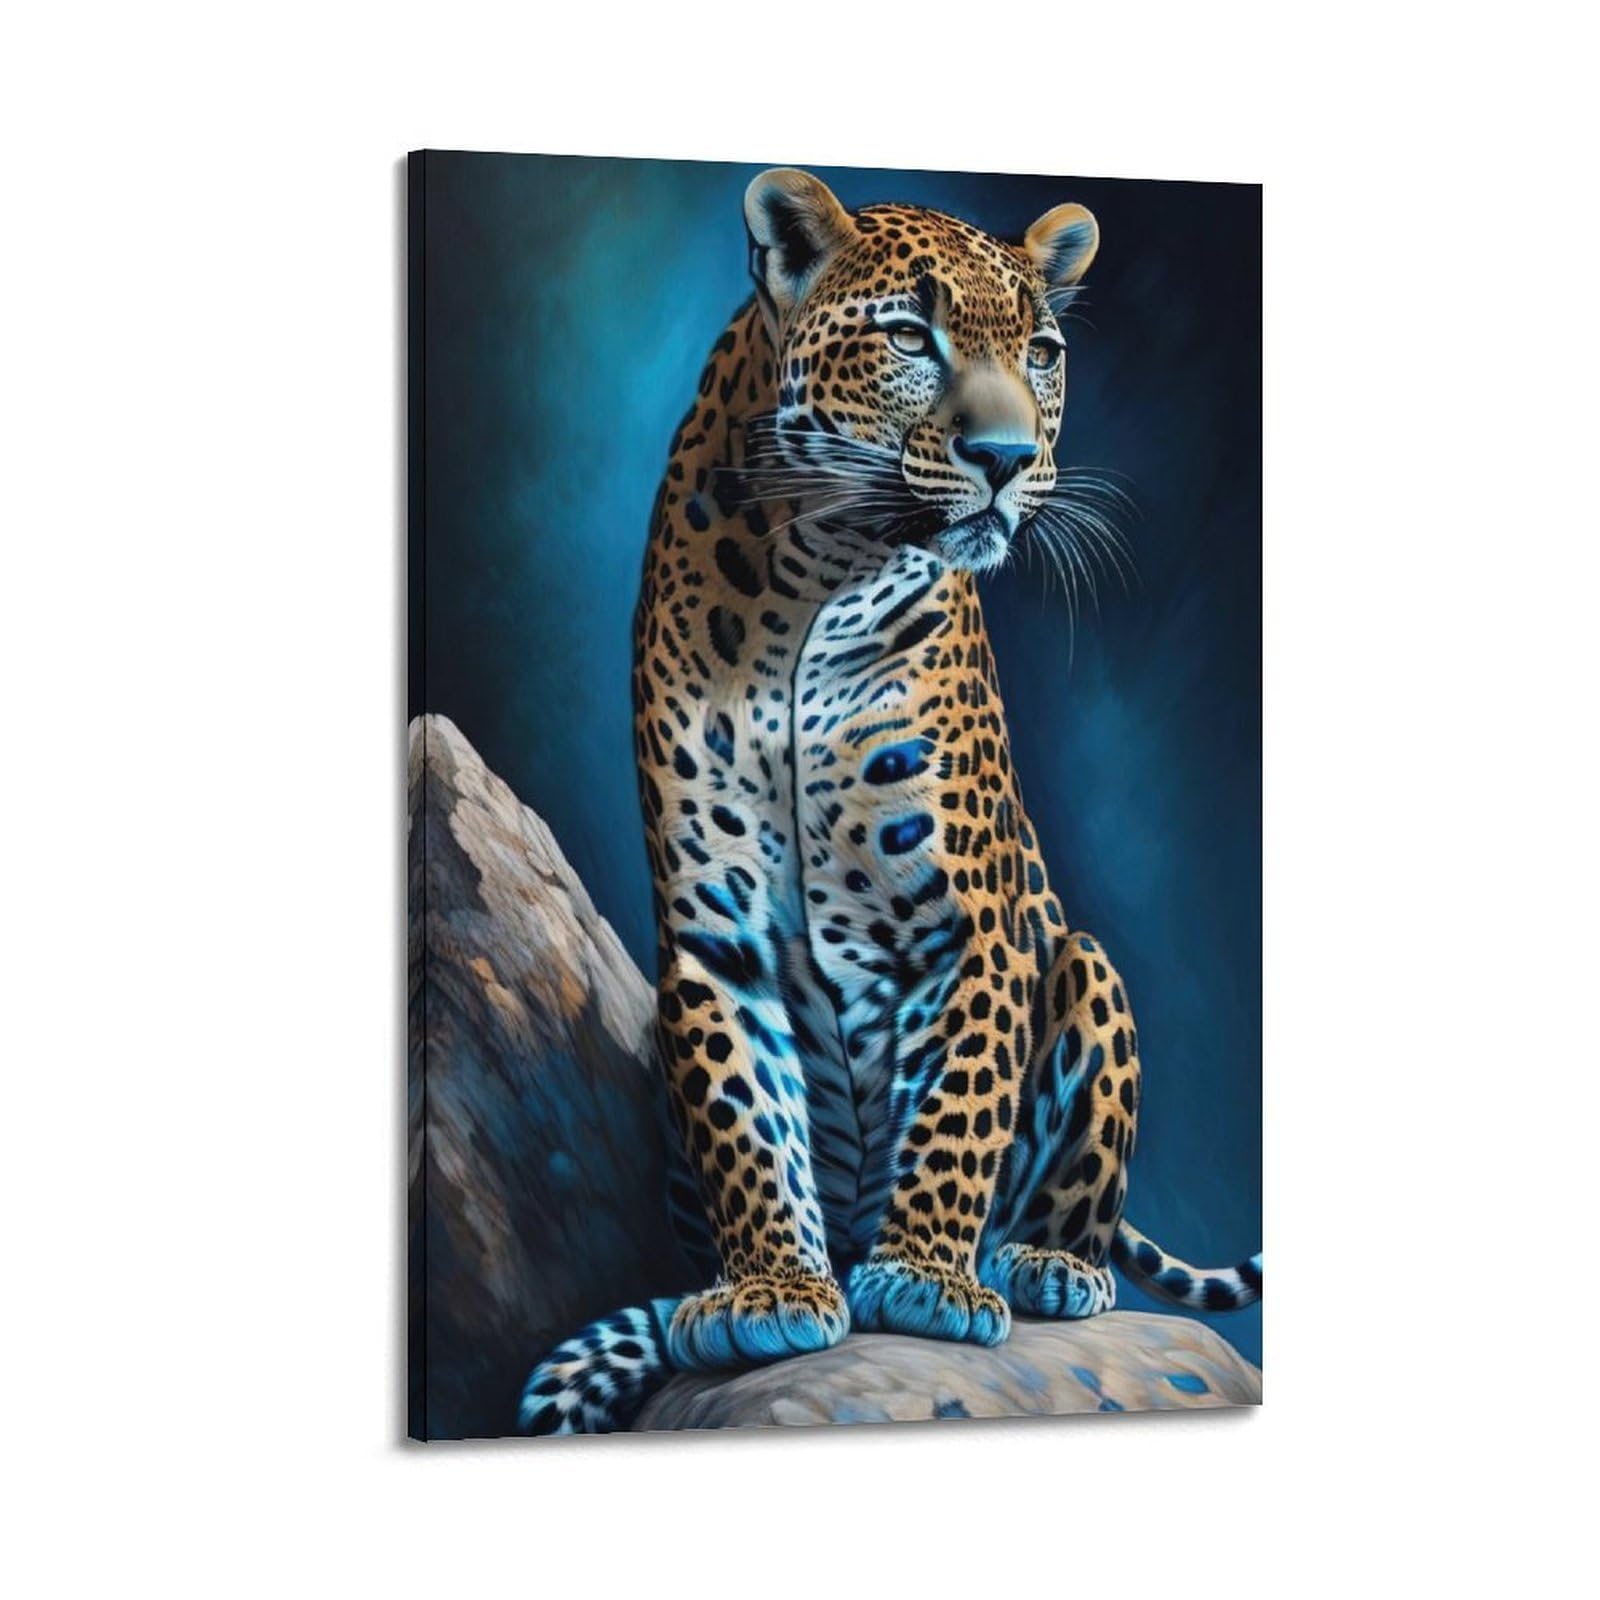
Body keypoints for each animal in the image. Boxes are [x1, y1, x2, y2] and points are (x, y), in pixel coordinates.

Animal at [519, 169, 1261, 1435]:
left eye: (1042, 352)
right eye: (912, 338)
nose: (1005, 455)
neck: (816, 573)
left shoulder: (971, 926)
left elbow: (959, 1104)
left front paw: (923, 1279)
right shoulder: (714, 937)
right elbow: (746, 1115)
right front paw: (771, 1287)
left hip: (1086, 961)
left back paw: (1042, 1262)